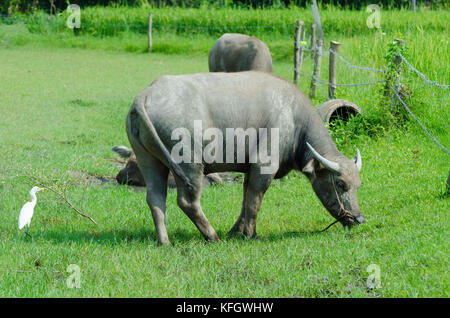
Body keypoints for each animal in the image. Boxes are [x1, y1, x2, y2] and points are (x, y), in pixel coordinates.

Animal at [125, 72, 364, 246]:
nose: (359, 219)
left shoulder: (250, 169)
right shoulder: (264, 165)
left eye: (358, 185)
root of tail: (144, 96)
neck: (294, 119)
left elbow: (245, 198)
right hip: (190, 165)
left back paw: (164, 241)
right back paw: (212, 236)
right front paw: (250, 234)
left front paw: (237, 231)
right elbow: (254, 201)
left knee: (155, 198)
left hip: (149, 160)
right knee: (187, 201)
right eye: (340, 184)